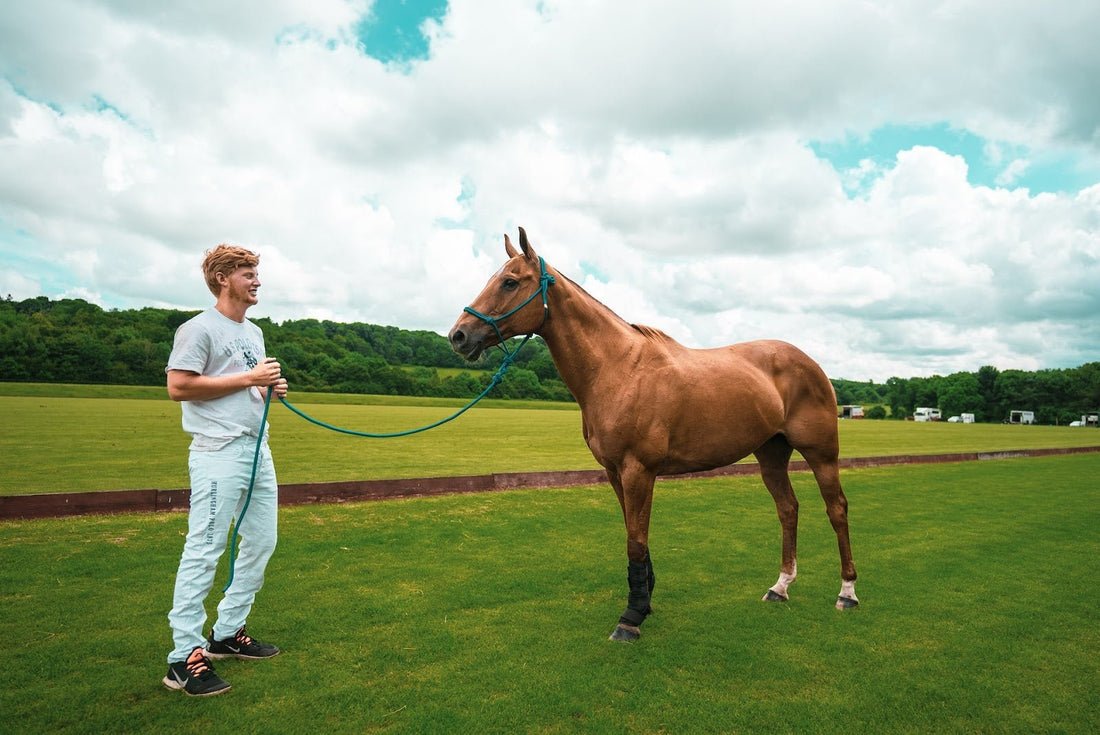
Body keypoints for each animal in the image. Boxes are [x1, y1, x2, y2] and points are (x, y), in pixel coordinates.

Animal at [446, 226, 858, 638]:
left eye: (510, 282)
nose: (459, 336)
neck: (619, 369)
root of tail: (811, 364)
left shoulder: (638, 470)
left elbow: (635, 541)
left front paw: (631, 617)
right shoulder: (616, 473)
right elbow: (635, 535)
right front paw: (644, 599)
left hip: (822, 453)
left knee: (836, 509)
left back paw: (847, 592)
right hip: (771, 454)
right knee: (788, 509)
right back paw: (780, 586)